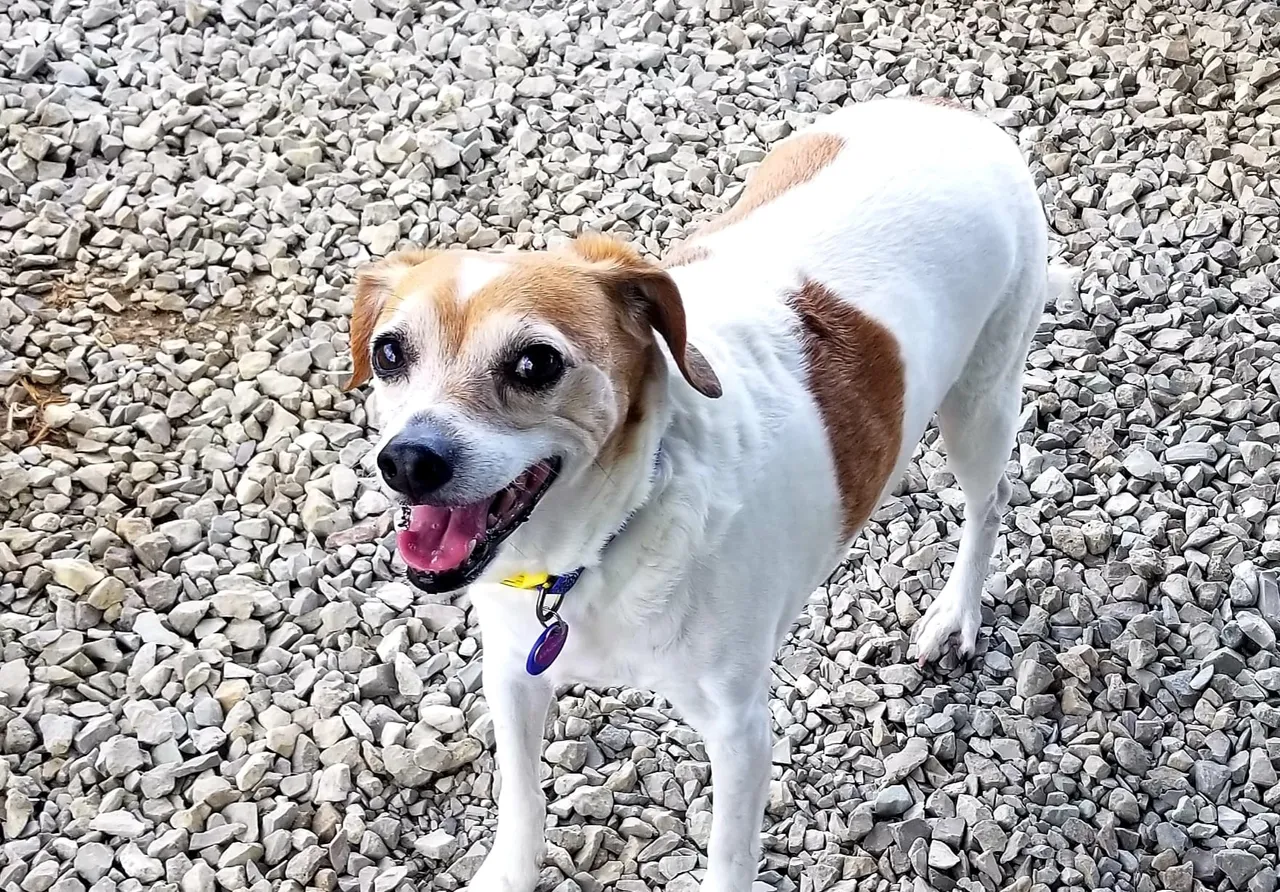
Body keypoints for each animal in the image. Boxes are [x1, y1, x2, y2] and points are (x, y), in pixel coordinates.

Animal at [343, 99, 1059, 890]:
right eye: (388, 353)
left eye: (535, 363)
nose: (407, 460)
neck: (598, 546)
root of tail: (955, 114)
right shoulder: (511, 668)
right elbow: (522, 800)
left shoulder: (740, 729)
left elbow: (727, 858)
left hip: (981, 401)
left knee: (989, 502)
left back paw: (955, 616)